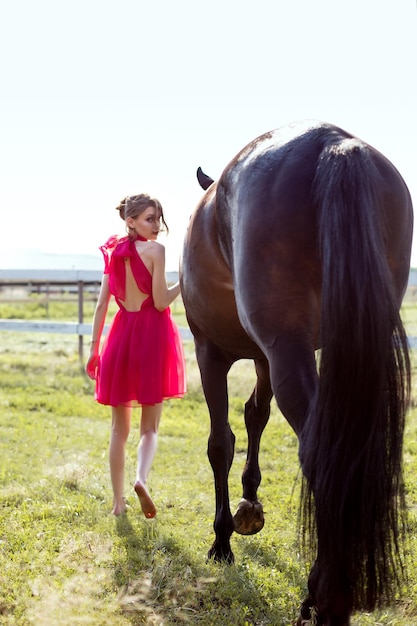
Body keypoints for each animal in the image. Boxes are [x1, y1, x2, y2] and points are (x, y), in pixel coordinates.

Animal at [180, 119, 412, 620]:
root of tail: (332, 144)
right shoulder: (264, 358)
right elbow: (255, 415)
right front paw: (249, 502)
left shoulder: (213, 353)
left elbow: (220, 443)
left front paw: (222, 540)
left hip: (287, 348)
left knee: (319, 451)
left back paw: (323, 597)